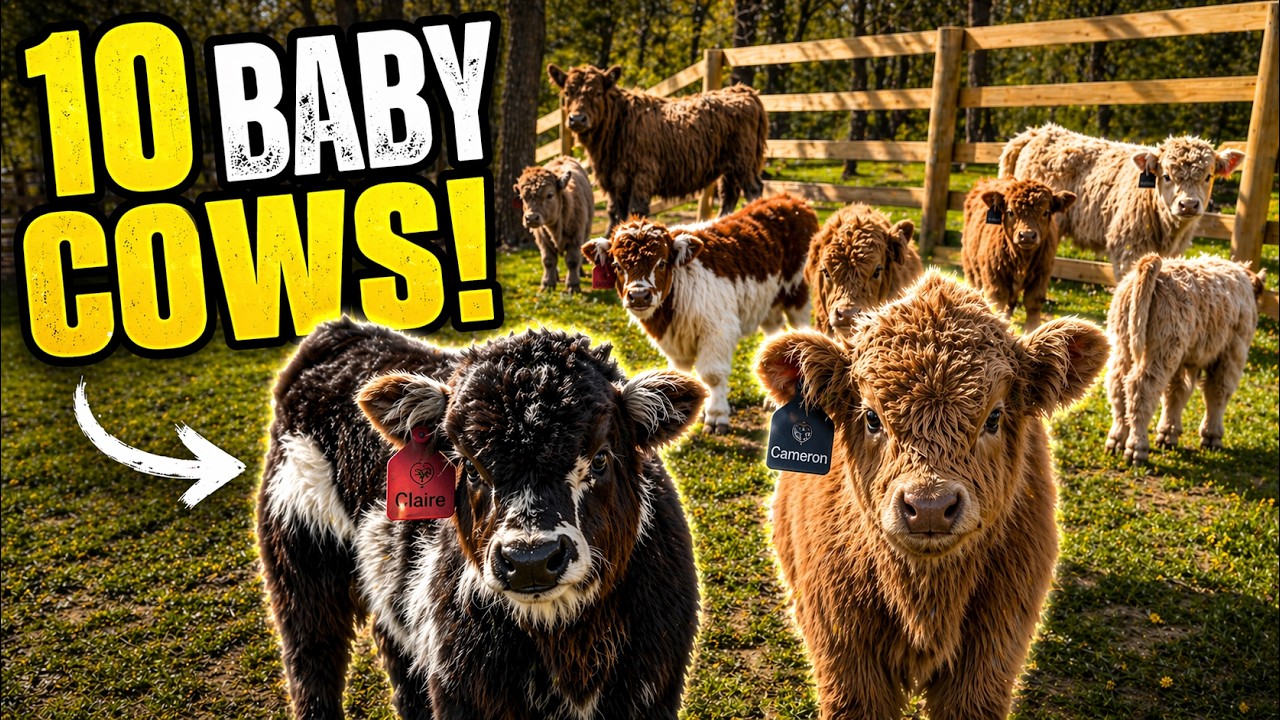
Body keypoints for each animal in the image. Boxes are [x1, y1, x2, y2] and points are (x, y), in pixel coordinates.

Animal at [257, 318, 705, 719]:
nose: (530, 560)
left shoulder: (653, 684)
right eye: (470, 467)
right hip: (298, 558)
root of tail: (340, 333)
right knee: (312, 660)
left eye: (599, 460)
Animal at [548, 63, 767, 232]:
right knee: (728, 197)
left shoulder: (642, 175)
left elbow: (635, 211)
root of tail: (744, 91)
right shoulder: (614, 180)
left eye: (598, 92)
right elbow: (614, 214)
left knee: (753, 190)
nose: (577, 119)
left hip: (744, 162)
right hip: (728, 167)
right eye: (567, 93)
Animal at [582, 194, 817, 434]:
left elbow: (712, 376)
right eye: (617, 265)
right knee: (775, 333)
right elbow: (680, 376)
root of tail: (790, 199)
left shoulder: (718, 330)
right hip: (769, 304)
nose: (639, 296)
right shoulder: (675, 343)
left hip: (798, 294)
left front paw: (716, 416)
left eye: (662, 262)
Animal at [755, 272, 1109, 719]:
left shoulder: (989, 660)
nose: (928, 507)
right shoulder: (846, 659)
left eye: (994, 417)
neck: (925, 599)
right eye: (871, 417)